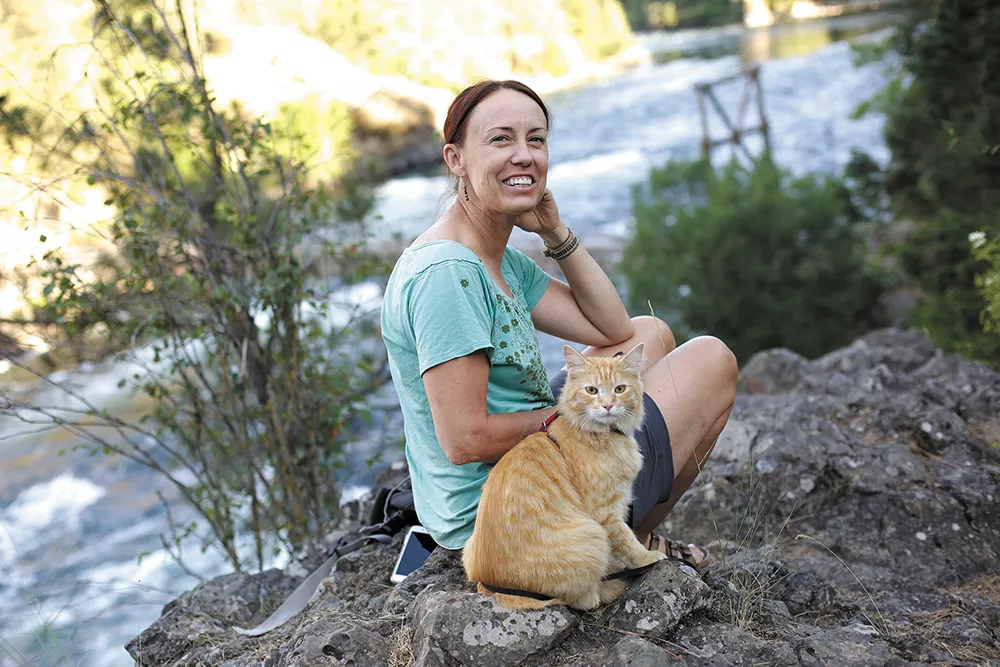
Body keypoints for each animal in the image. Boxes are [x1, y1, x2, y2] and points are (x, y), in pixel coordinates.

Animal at [460, 344, 664, 612]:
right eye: (591, 390)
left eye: (620, 389)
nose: (608, 406)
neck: (600, 435)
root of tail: (491, 585)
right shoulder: (605, 512)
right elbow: (627, 541)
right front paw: (646, 558)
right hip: (591, 535)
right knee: (583, 599)